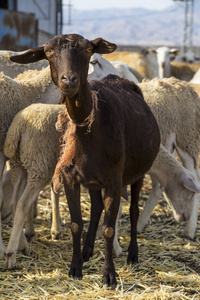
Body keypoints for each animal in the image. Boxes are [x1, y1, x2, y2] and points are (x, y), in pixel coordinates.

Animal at [9, 33, 161, 288]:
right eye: (48, 52)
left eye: (89, 50)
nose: (69, 80)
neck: (91, 126)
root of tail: (118, 79)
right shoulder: (71, 178)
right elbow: (76, 224)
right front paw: (75, 267)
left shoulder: (114, 180)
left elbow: (109, 229)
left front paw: (108, 275)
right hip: (92, 179)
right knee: (97, 207)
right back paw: (87, 250)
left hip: (137, 173)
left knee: (133, 211)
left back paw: (132, 254)